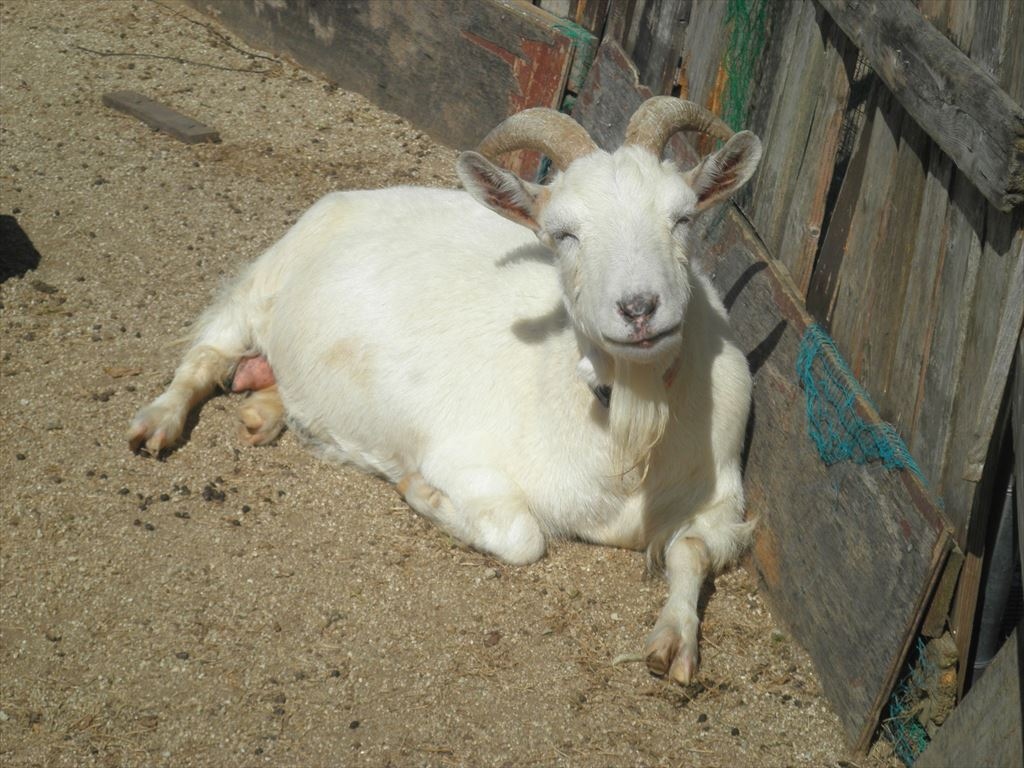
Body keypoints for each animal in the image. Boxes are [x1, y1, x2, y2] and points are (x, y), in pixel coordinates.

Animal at [128, 96, 762, 685]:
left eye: (682, 218)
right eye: (563, 234)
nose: (639, 309)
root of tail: (349, 198)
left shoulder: (721, 495)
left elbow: (691, 549)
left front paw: (672, 642)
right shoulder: (464, 458)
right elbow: (522, 536)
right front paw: (419, 492)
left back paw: (265, 410)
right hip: (262, 284)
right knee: (205, 357)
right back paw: (157, 424)